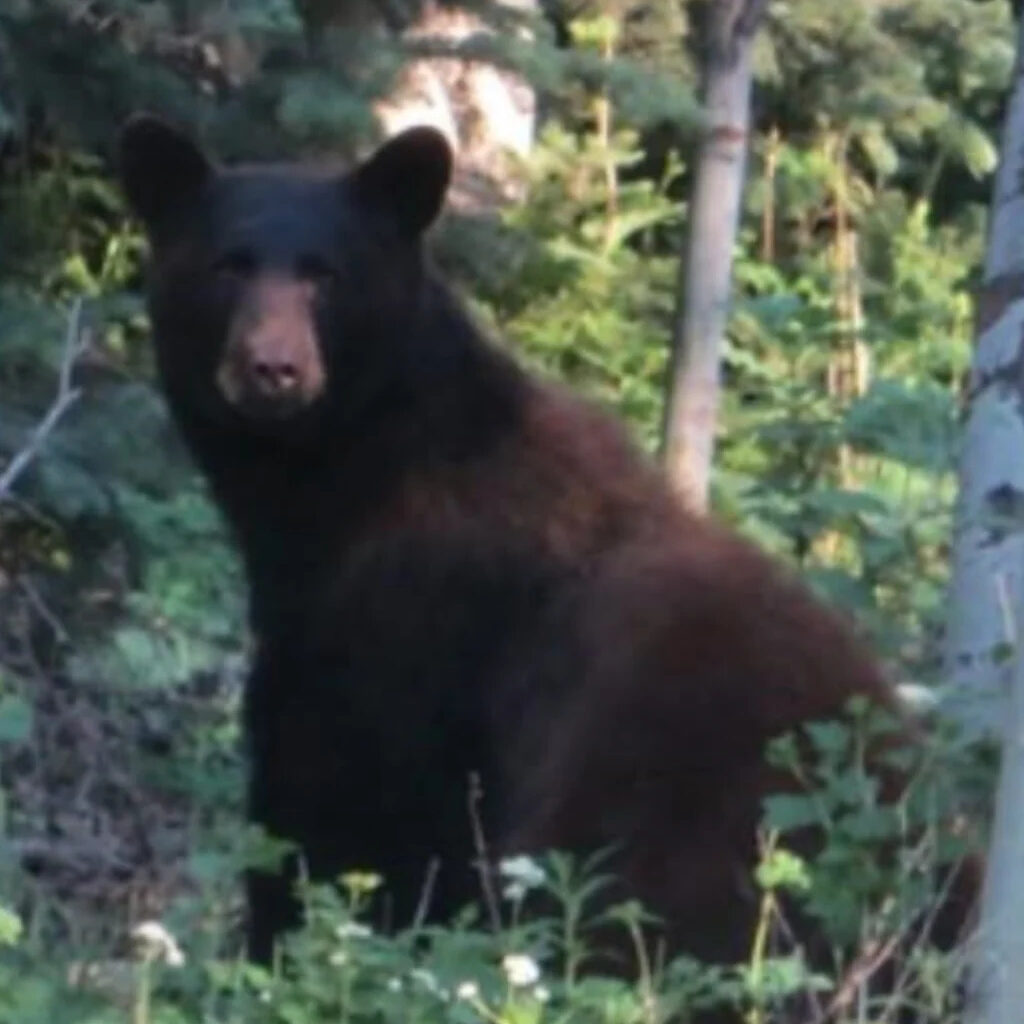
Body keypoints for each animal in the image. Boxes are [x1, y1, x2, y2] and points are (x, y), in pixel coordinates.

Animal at [117, 114, 976, 1008]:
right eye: (227, 264)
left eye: (325, 273)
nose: (273, 369)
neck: (355, 479)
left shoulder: (399, 636)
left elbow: (335, 815)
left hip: (658, 813)